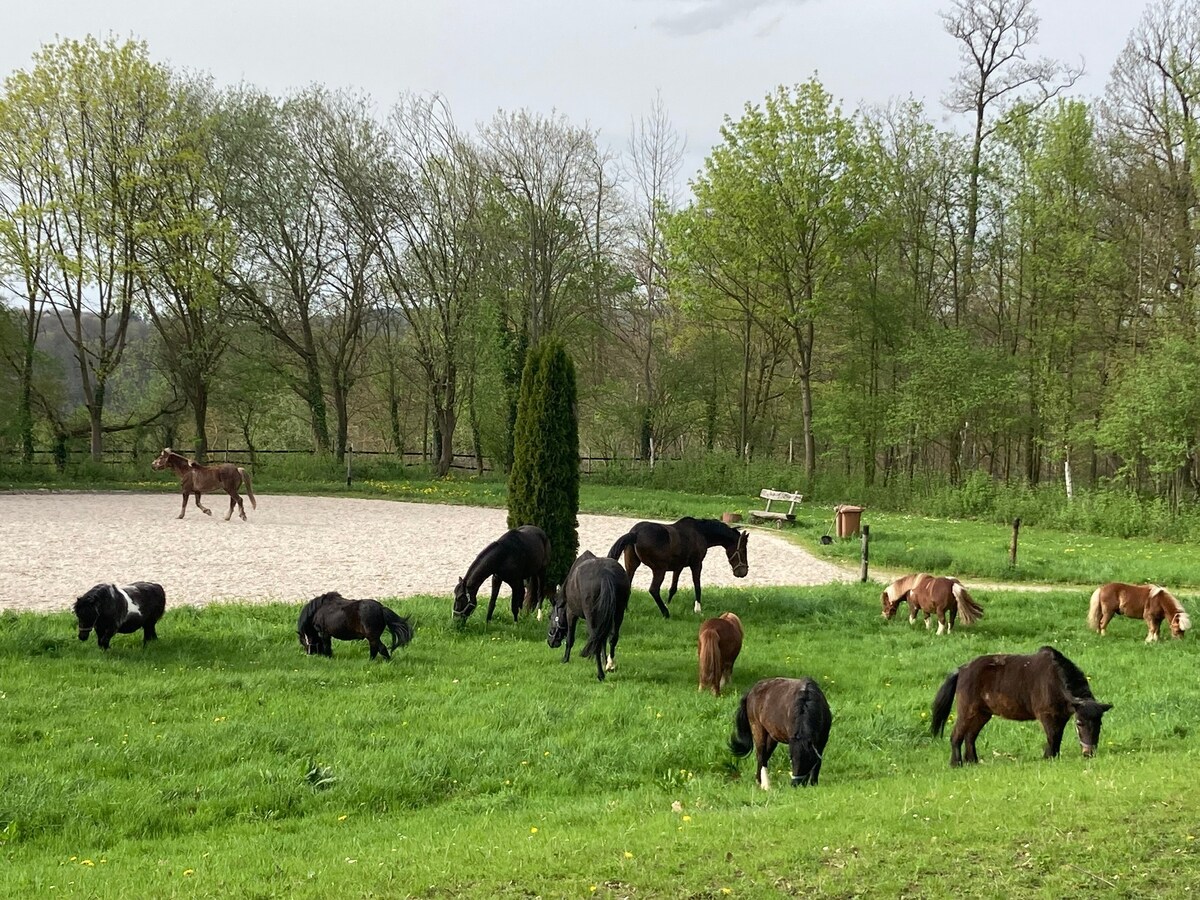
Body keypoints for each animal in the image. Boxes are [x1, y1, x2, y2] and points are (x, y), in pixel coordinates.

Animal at [549, 549, 633, 681]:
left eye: (550, 617)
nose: (551, 642)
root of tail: (605, 574)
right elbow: (604, 639)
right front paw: (605, 661)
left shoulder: (571, 613)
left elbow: (570, 638)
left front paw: (565, 659)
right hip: (618, 613)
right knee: (612, 637)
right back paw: (610, 665)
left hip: (591, 616)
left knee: (596, 641)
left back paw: (600, 674)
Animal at [609, 518, 748, 619]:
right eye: (742, 550)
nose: (743, 572)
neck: (700, 532)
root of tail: (635, 533)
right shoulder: (697, 564)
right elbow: (697, 585)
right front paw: (698, 609)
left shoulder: (678, 567)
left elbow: (673, 588)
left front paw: (668, 603)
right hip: (659, 569)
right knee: (654, 590)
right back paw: (666, 613)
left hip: (632, 565)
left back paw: (627, 609)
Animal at [926, 648, 1113, 768]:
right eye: (1079, 723)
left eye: (1099, 724)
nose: (1089, 753)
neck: (1055, 681)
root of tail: (962, 670)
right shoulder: (1046, 716)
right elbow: (1052, 737)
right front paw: (1048, 757)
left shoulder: (1060, 717)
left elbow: (1057, 737)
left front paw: (1054, 756)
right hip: (967, 711)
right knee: (956, 736)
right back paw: (956, 763)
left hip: (982, 714)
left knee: (970, 736)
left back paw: (973, 761)